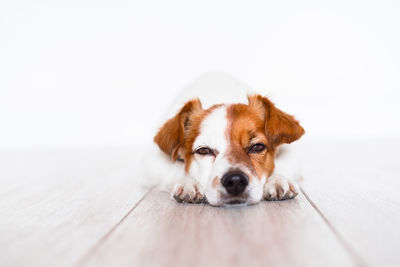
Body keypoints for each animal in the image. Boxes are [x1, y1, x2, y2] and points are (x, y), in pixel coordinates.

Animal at [149, 73, 304, 207]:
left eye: (257, 147)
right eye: (203, 150)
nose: (235, 180)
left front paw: (278, 179)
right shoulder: (153, 161)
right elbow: (178, 169)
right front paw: (189, 183)